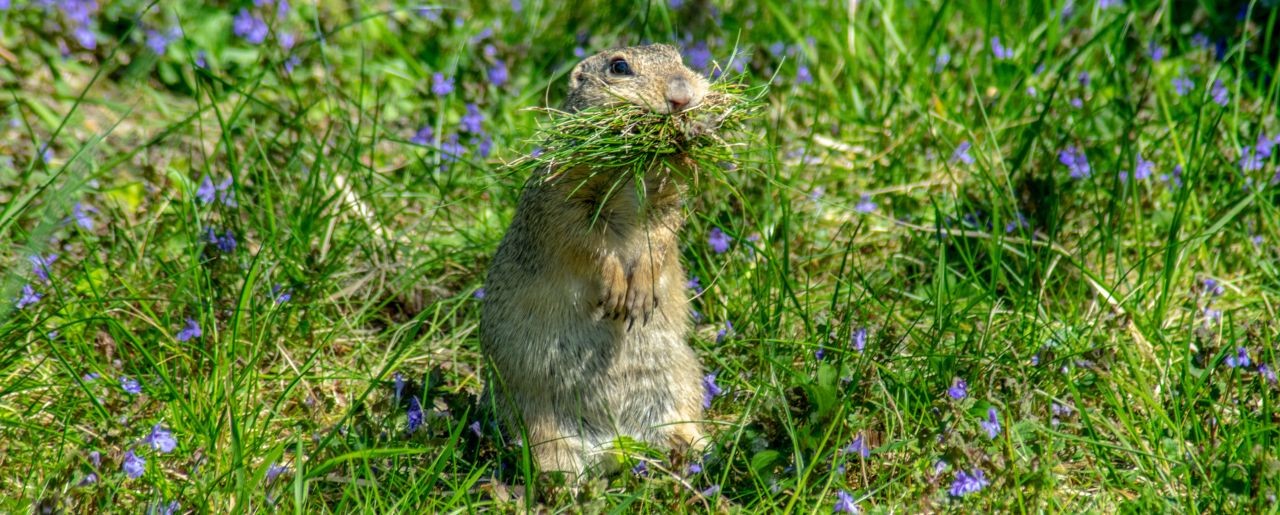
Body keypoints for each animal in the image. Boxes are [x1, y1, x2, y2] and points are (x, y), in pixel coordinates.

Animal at [481, 46, 711, 476]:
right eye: (619, 67)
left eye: (679, 56)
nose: (682, 96)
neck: (635, 172)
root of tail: (615, 443)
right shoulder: (562, 192)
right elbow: (586, 240)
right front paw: (618, 291)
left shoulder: (669, 195)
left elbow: (661, 231)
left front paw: (641, 293)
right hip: (535, 414)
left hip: (681, 377)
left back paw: (689, 448)